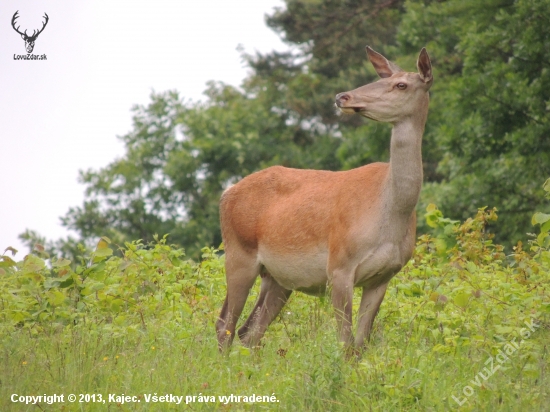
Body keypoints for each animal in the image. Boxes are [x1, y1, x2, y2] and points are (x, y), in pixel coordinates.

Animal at [217, 45, 436, 354]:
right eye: (381, 78)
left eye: (401, 84)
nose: (342, 96)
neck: (390, 215)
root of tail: (226, 193)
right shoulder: (339, 265)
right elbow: (345, 343)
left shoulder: (384, 276)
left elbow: (361, 344)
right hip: (239, 252)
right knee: (225, 326)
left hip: (278, 277)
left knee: (249, 330)